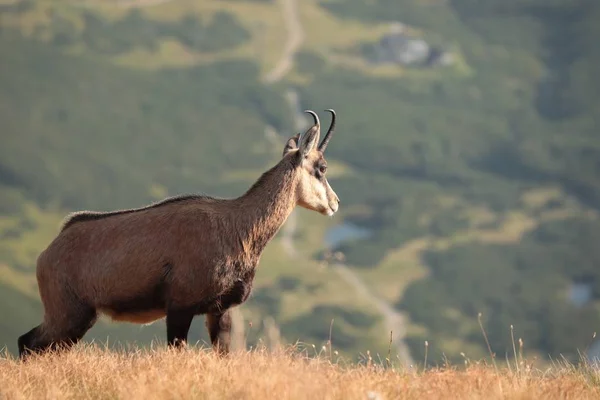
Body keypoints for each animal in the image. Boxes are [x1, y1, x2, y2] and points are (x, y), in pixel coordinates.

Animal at [16, 108, 340, 360]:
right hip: (68, 312)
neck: (239, 226)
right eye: (322, 168)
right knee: (27, 342)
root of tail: (48, 252)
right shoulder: (180, 307)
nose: (335, 204)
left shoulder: (220, 311)